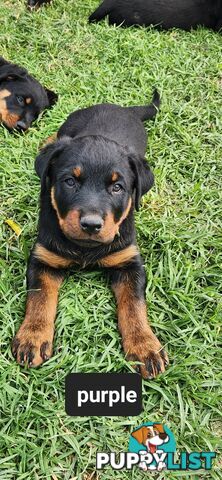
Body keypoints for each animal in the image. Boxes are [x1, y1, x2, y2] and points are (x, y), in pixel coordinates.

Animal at [11, 91, 169, 378]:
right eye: (70, 182)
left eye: (117, 188)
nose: (91, 224)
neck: (85, 248)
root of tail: (120, 108)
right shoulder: (43, 258)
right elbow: (39, 299)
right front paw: (32, 338)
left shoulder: (129, 261)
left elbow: (134, 306)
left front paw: (145, 347)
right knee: (59, 136)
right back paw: (48, 142)